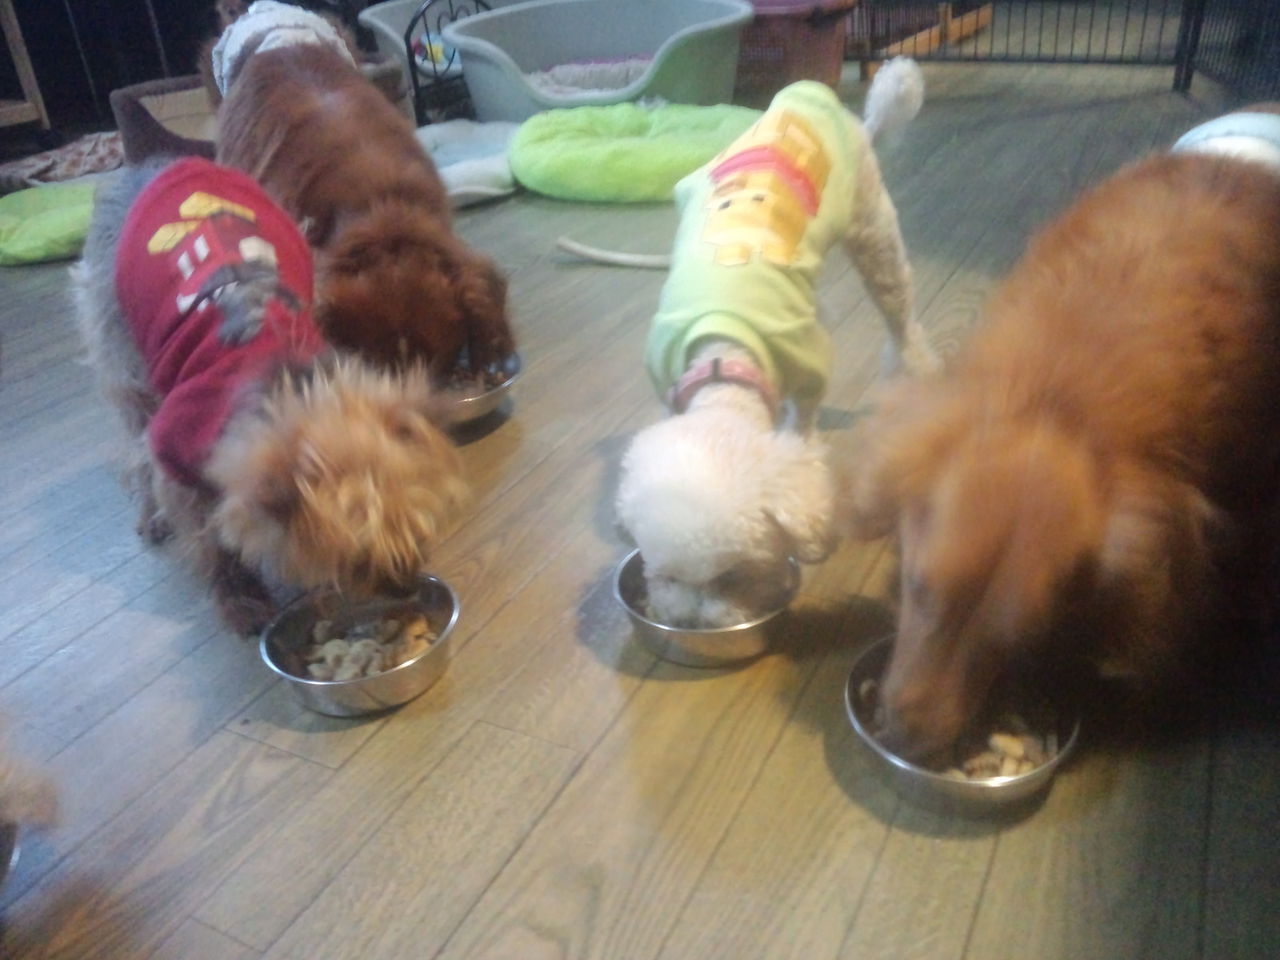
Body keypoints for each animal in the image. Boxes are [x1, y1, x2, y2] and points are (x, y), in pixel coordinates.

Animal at [73, 155, 468, 635]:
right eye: (354, 556)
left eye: (416, 524)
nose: (407, 584)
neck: (291, 385)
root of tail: (159, 162)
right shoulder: (177, 448)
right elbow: (205, 532)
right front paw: (240, 598)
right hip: (114, 330)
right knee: (131, 425)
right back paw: (150, 514)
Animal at [614, 61, 939, 629]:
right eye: (666, 576)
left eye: (732, 576)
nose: (690, 623)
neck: (723, 363)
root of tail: (835, 109)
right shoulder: (666, 379)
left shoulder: (808, 368)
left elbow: (804, 424)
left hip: (873, 230)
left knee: (899, 313)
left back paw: (916, 368)